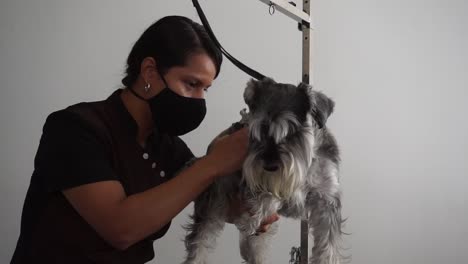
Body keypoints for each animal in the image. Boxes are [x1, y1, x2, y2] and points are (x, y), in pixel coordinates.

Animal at [181, 77, 346, 262]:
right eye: (258, 129)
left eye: (293, 131)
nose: (270, 165)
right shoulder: (249, 180)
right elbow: (266, 195)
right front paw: (251, 218)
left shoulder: (327, 200)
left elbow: (329, 248)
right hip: (214, 201)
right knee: (200, 242)